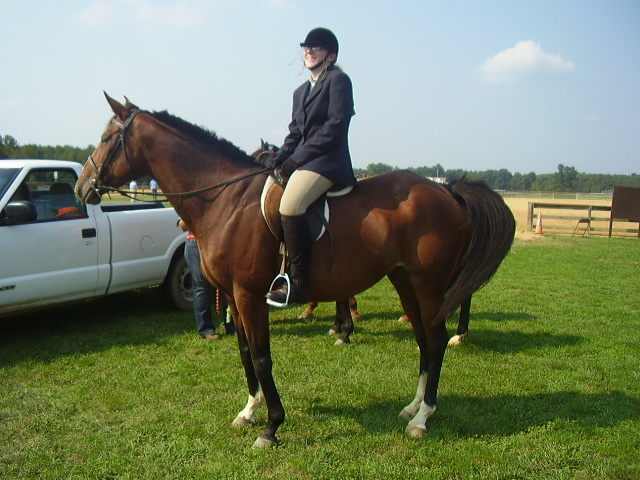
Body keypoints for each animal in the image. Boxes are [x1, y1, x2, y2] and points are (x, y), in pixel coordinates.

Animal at [76, 95, 516, 448]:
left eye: (106, 138)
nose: (82, 187)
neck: (226, 200)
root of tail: (445, 189)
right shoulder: (233, 295)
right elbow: (244, 354)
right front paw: (248, 410)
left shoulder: (250, 295)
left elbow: (261, 358)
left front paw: (271, 427)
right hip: (405, 280)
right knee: (424, 340)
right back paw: (412, 407)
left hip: (428, 284)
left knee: (437, 341)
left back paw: (424, 417)